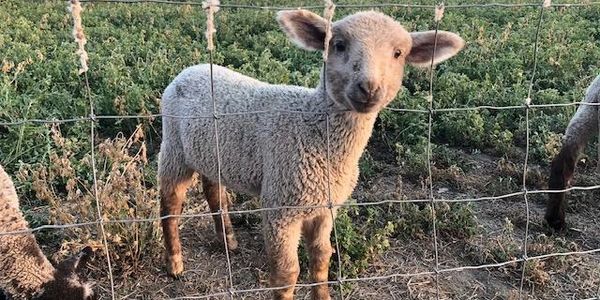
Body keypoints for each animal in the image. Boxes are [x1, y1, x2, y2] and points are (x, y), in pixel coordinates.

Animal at [158, 8, 464, 298]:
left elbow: (321, 258)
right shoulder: (281, 206)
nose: (368, 88)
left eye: (398, 53)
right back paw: (175, 264)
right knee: (170, 206)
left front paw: (323, 294)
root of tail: (191, 69)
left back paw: (228, 240)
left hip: (209, 151)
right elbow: (287, 274)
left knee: (213, 190)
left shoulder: (325, 207)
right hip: (173, 147)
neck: (312, 127)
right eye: (338, 45)